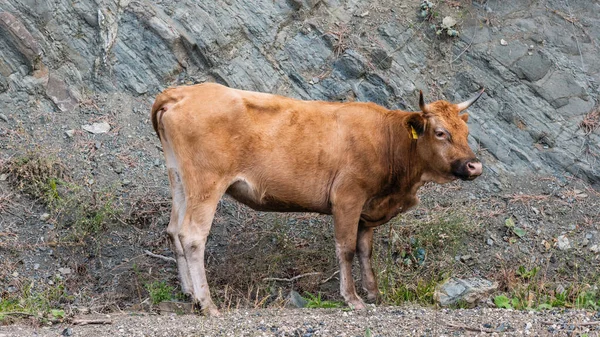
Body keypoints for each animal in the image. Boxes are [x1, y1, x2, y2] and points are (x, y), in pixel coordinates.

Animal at [152, 82, 486, 314]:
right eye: (440, 132)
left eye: (466, 131)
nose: (475, 165)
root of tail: (181, 92)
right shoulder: (348, 197)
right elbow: (346, 249)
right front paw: (352, 298)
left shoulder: (368, 209)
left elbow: (366, 251)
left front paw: (374, 293)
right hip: (207, 183)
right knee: (192, 235)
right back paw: (207, 304)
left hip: (179, 179)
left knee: (174, 230)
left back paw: (188, 294)